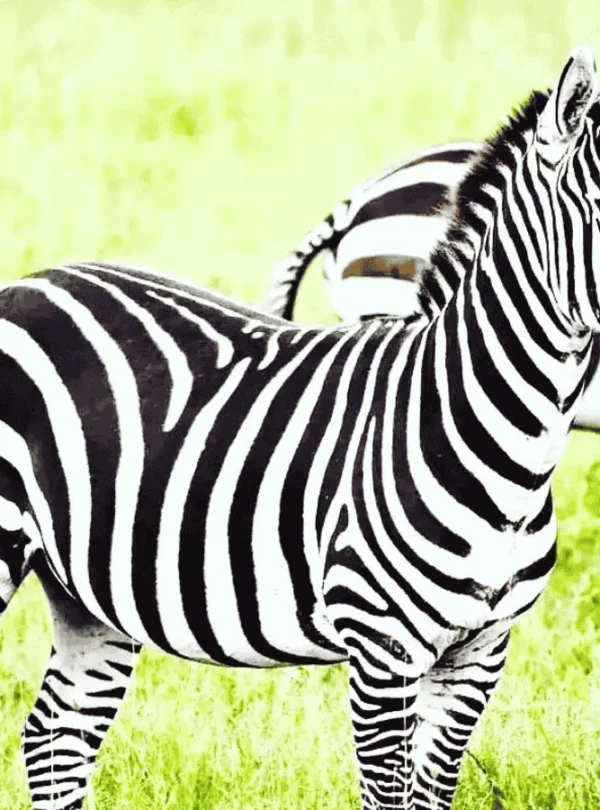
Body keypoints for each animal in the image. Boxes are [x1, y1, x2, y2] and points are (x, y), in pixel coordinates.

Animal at [0, 45, 599, 810]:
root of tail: (29, 282)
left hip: (87, 593)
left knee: (55, 739)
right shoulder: (381, 650)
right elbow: (388, 794)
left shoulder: (479, 652)